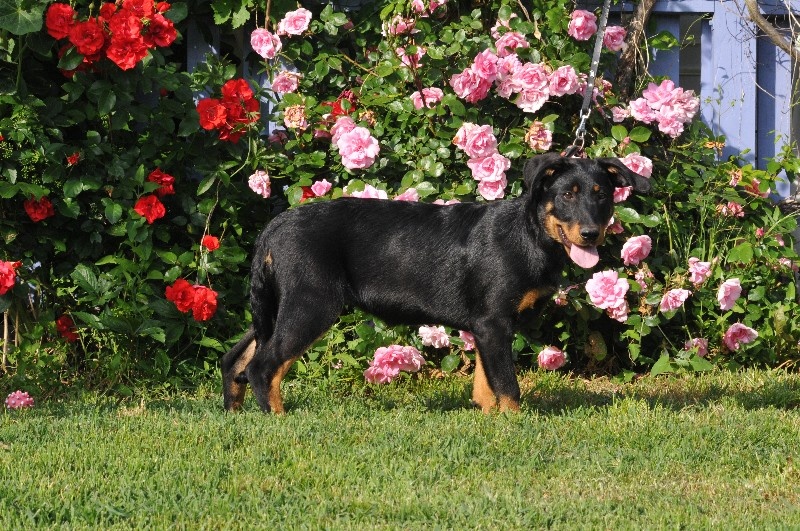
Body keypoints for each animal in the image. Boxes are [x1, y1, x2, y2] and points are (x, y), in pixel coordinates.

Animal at [221, 152, 651, 414]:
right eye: (566, 195)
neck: (529, 235)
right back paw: (278, 419)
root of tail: (274, 227)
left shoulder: (485, 325)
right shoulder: (494, 321)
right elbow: (507, 386)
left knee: (236, 358)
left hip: (277, 305)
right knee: (263, 365)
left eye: (601, 195)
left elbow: (486, 384)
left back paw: (235, 414)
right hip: (311, 303)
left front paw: (491, 422)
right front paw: (517, 427)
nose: (591, 234)